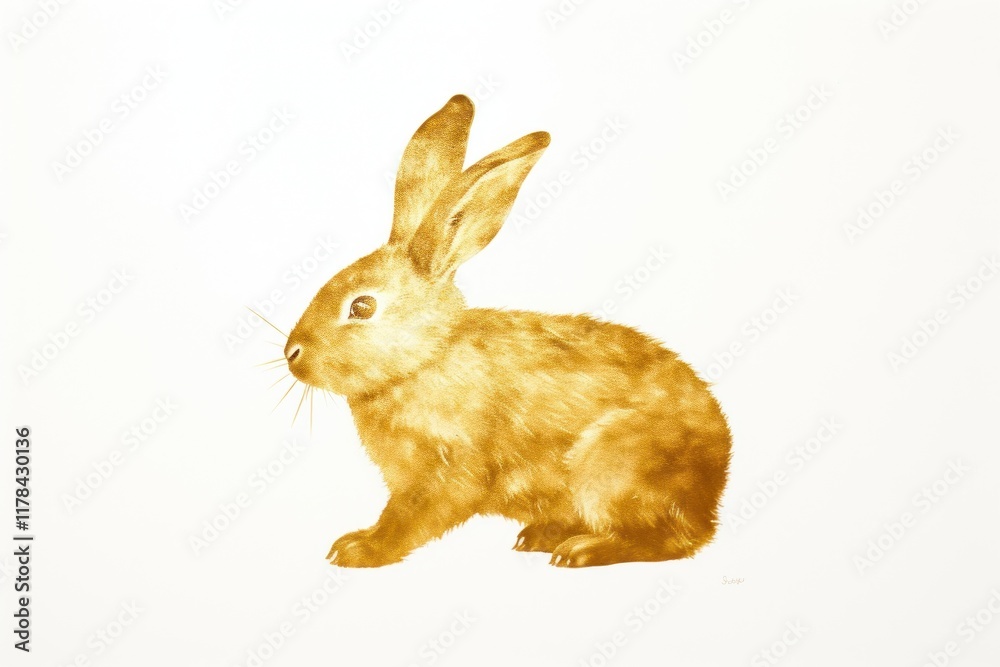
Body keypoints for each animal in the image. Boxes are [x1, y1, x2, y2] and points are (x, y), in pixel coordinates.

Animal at [283, 94, 731, 568]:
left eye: (362, 307)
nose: (291, 353)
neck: (426, 358)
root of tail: (714, 487)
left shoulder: (448, 472)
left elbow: (410, 518)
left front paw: (359, 549)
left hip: (614, 468)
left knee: (673, 540)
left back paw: (581, 550)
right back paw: (542, 535)